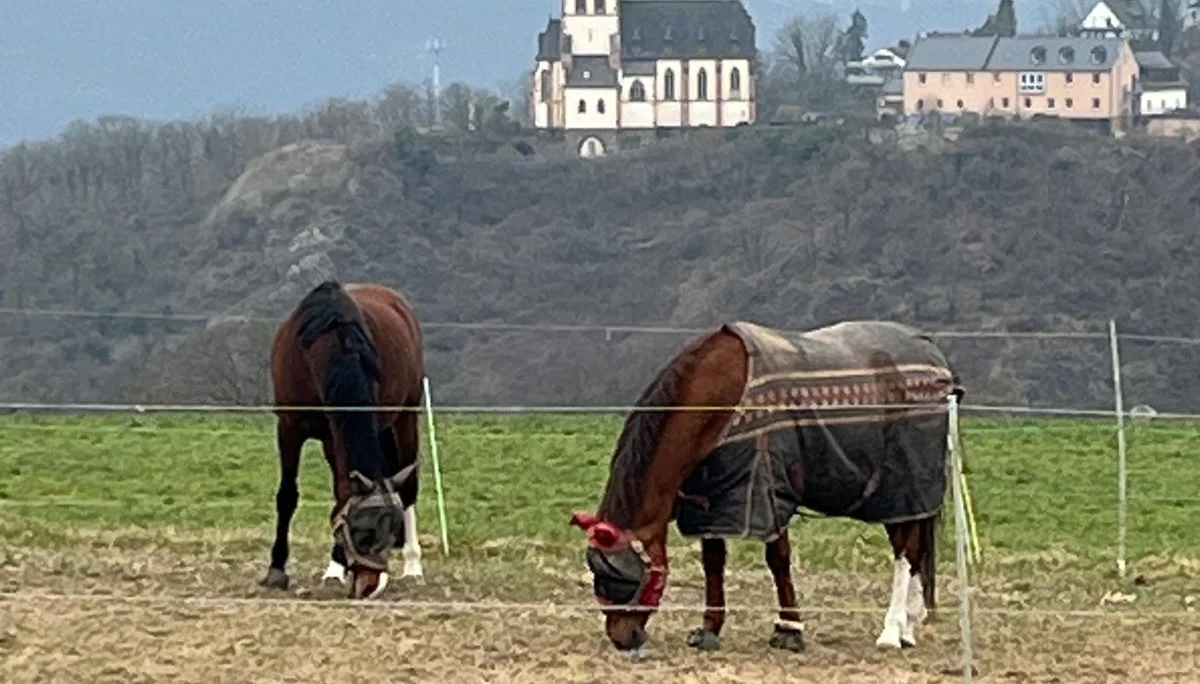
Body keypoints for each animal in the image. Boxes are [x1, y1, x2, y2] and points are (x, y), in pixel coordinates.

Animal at [259, 280, 426, 599]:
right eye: (363, 532)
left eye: (391, 532)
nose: (371, 586)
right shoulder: (289, 428)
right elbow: (288, 496)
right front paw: (277, 570)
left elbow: (342, 496)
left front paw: (335, 566)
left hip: (406, 417)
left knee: (409, 487)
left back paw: (413, 566)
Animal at [570, 320, 961, 653]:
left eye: (618, 577)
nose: (621, 638)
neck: (722, 397)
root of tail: (936, 360)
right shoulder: (715, 498)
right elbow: (713, 561)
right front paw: (710, 629)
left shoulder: (768, 489)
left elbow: (778, 559)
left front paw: (789, 629)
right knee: (914, 550)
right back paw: (909, 625)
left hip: (903, 489)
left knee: (905, 551)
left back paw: (893, 630)